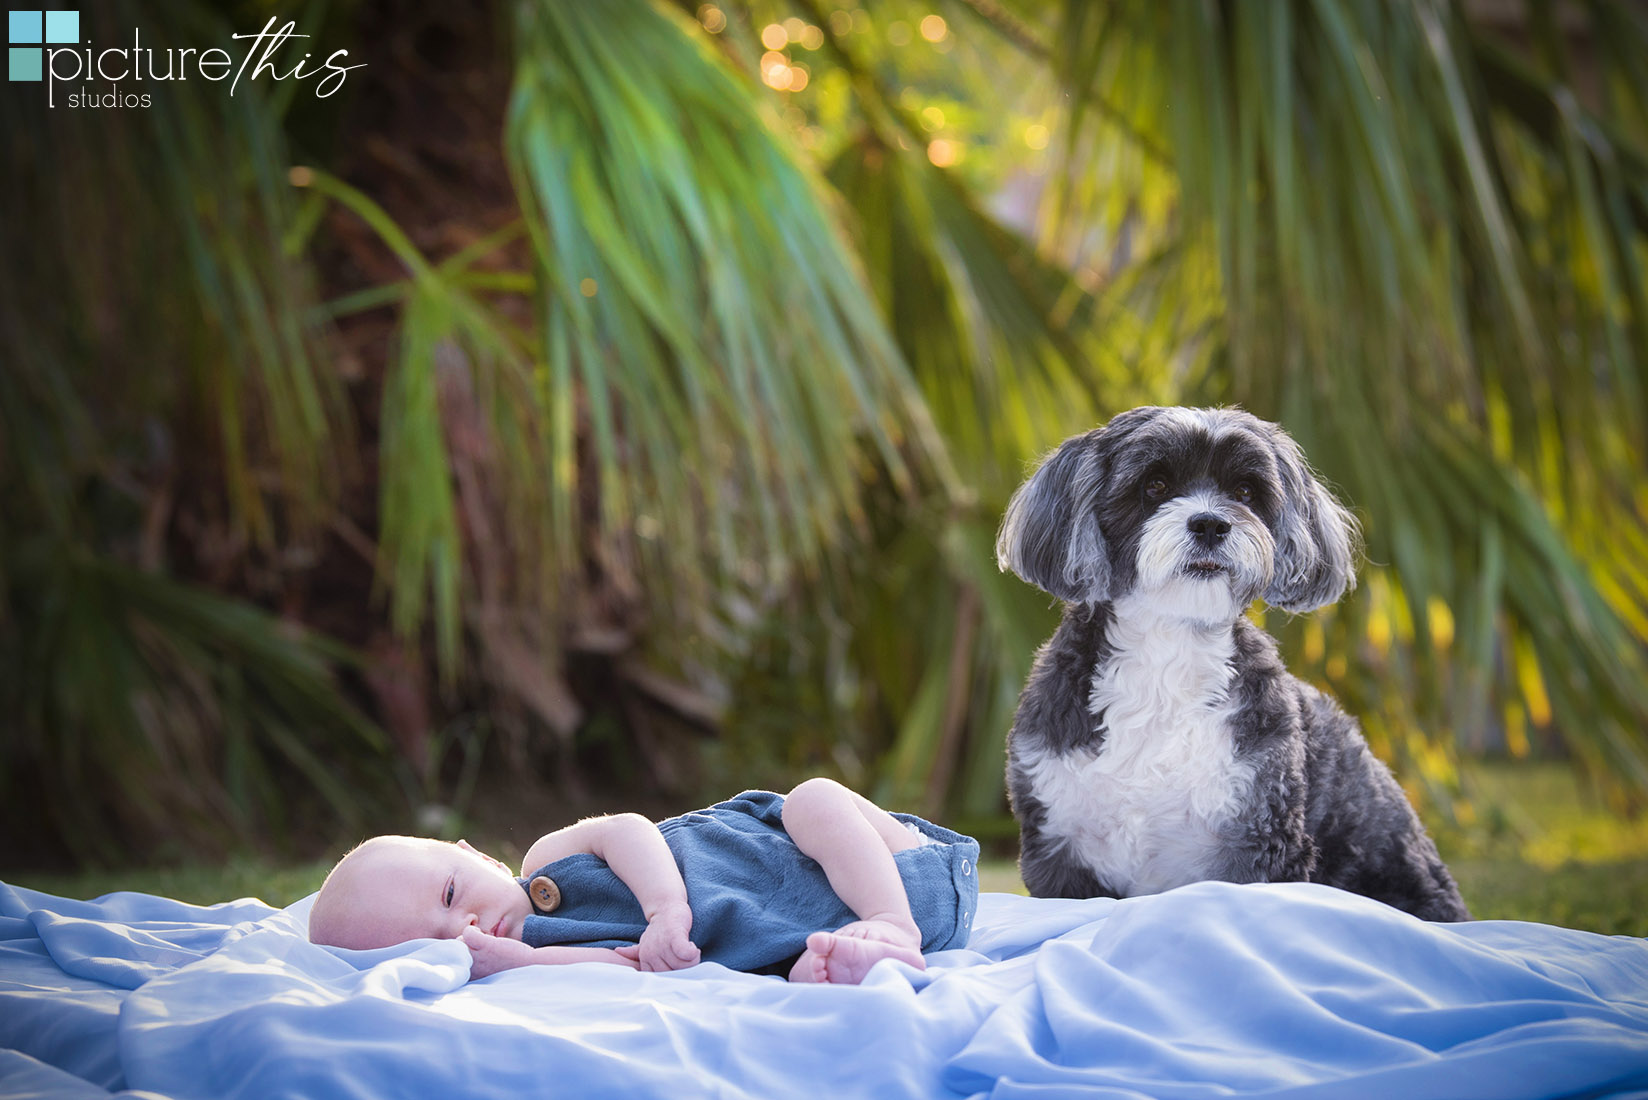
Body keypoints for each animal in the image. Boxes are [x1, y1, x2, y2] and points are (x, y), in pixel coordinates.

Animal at [988, 404, 1470, 923]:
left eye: (1244, 492)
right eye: (1155, 485)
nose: (1210, 524)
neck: (1166, 659)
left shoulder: (1259, 838)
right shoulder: (1059, 848)